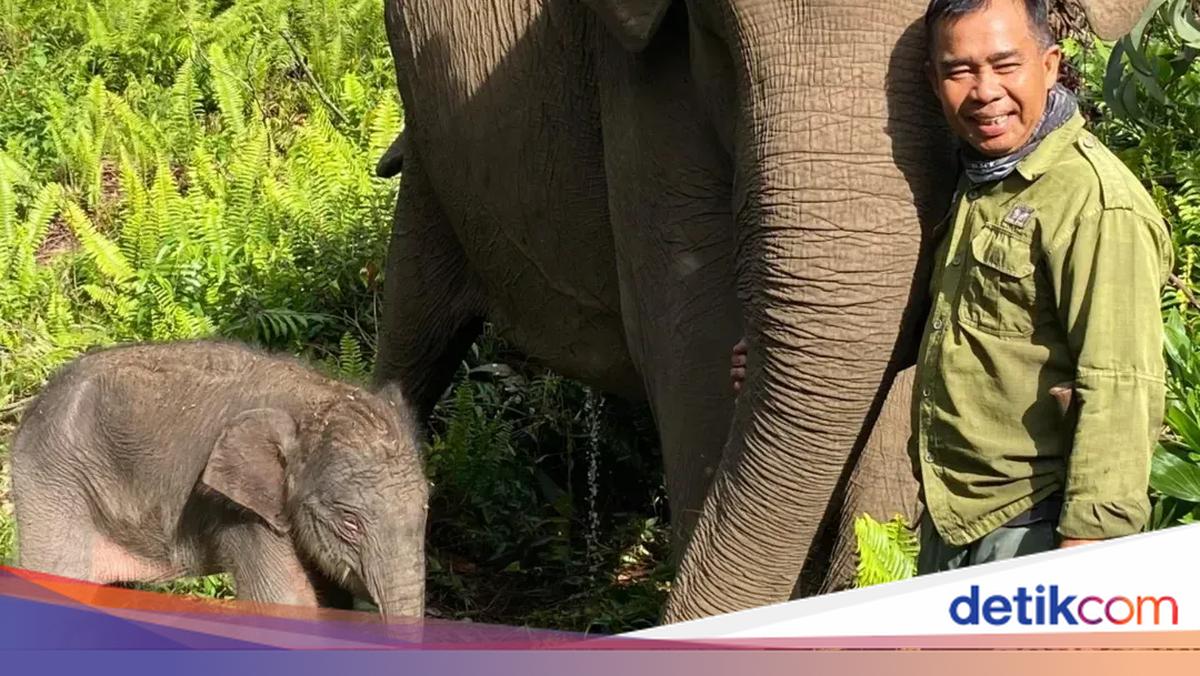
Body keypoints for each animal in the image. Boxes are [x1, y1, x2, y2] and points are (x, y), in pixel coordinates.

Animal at [10, 340, 427, 619]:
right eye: (349, 522)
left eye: (426, 512)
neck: (314, 396)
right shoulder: (235, 509)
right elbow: (286, 602)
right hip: (54, 482)